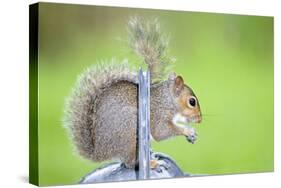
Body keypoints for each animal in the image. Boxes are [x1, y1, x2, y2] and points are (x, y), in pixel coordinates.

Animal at [63, 17, 201, 169]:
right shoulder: (157, 115)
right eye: (192, 102)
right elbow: (161, 132)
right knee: (129, 162)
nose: (200, 119)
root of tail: (100, 153)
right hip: (130, 129)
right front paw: (188, 130)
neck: (167, 100)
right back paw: (152, 163)